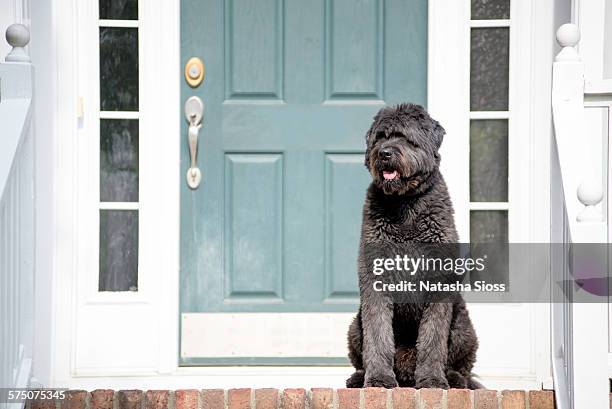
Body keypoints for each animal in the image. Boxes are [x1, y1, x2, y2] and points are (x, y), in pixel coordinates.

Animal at [344, 103, 482, 388]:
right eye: (381, 137)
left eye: (406, 137)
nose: (384, 153)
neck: (405, 204)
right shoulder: (376, 280)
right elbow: (378, 336)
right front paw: (379, 379)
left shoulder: (438, 285)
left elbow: (433, 339)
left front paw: (432, 380)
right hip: (354, 326)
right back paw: (359, 376)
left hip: (464, 327)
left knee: (461, 365)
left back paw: (453, 378)